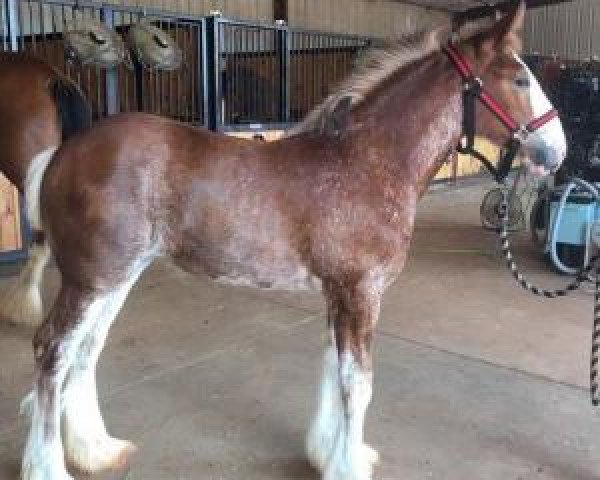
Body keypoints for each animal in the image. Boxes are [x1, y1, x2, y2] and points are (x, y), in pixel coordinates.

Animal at [17, 3, 564, 480]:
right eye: (520, 79)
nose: (557, 151)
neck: (366, 162)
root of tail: (63, 152)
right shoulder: (361, 292)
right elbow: (358, 382)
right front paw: (348, 466)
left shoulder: (339, 293)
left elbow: (333, 368)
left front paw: (328, 454)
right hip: (91, 280)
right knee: (53, 351)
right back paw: (50, 466)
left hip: (116, 279)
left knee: (86, 352)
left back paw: (96, 451)